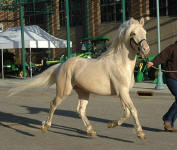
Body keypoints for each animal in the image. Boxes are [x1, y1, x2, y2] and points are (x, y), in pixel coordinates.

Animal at [9, 17, 150, 139]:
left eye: (145, 32)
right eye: (133, 34)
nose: (146, 49)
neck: (121, 64)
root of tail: (61, 64)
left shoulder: (122, 93)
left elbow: (127, 112)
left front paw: (111, 124)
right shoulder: (122, 92)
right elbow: (133, 110)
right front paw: (140, 134)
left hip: (83, 92)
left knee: (80, 110)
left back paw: (91, 130)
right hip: (63, 92)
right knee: (53, 104)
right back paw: (45, 127)